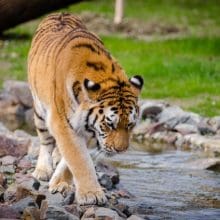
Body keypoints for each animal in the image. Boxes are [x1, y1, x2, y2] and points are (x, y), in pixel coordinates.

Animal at [27, 12, 144, 205]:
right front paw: (91, 194)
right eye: (109, 125)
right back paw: (42, 170)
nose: (121, 150)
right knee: (45, 141)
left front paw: (61, 183)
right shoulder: (62, 122)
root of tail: (60, 13)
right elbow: (79, 158)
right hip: (39, 110)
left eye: (130, 125)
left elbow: (72, 158)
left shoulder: (88, 127)